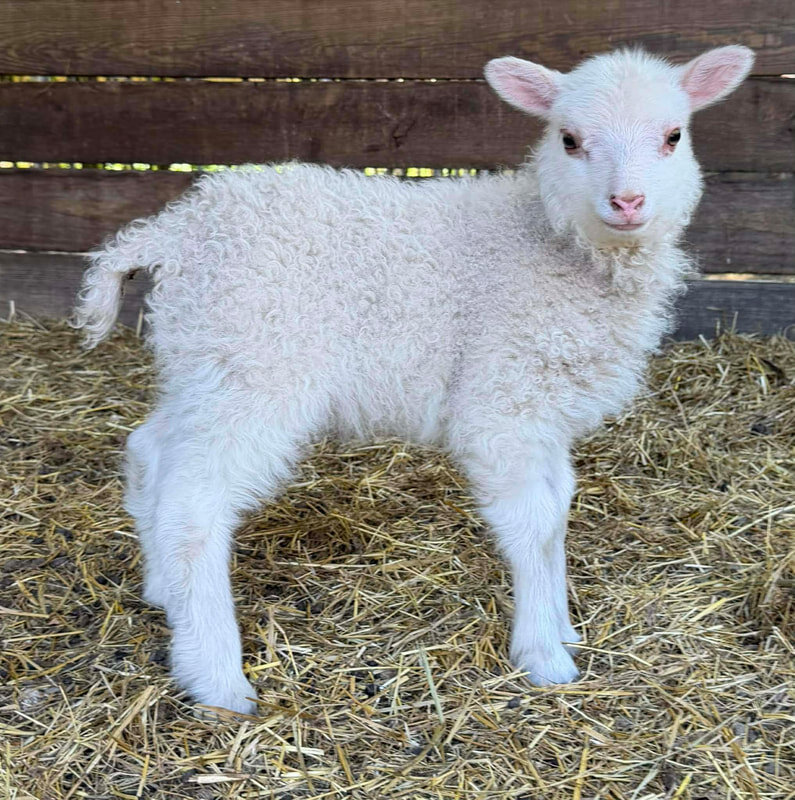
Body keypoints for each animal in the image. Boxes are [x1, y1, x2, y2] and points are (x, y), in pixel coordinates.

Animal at [74, 45, 754, 714]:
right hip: (256, 364)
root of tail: (177, 230)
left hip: (204, 361)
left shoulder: (546, 409)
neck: (553, 243)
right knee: (193, 504)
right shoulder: (503, 402)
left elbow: (559, 510)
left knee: (152, 449)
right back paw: (216, 677)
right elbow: (533, 524)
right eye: (568, 139)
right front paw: (544, 656)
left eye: (673, 135)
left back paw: (162, 590)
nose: (628, 203)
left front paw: (562, 626)